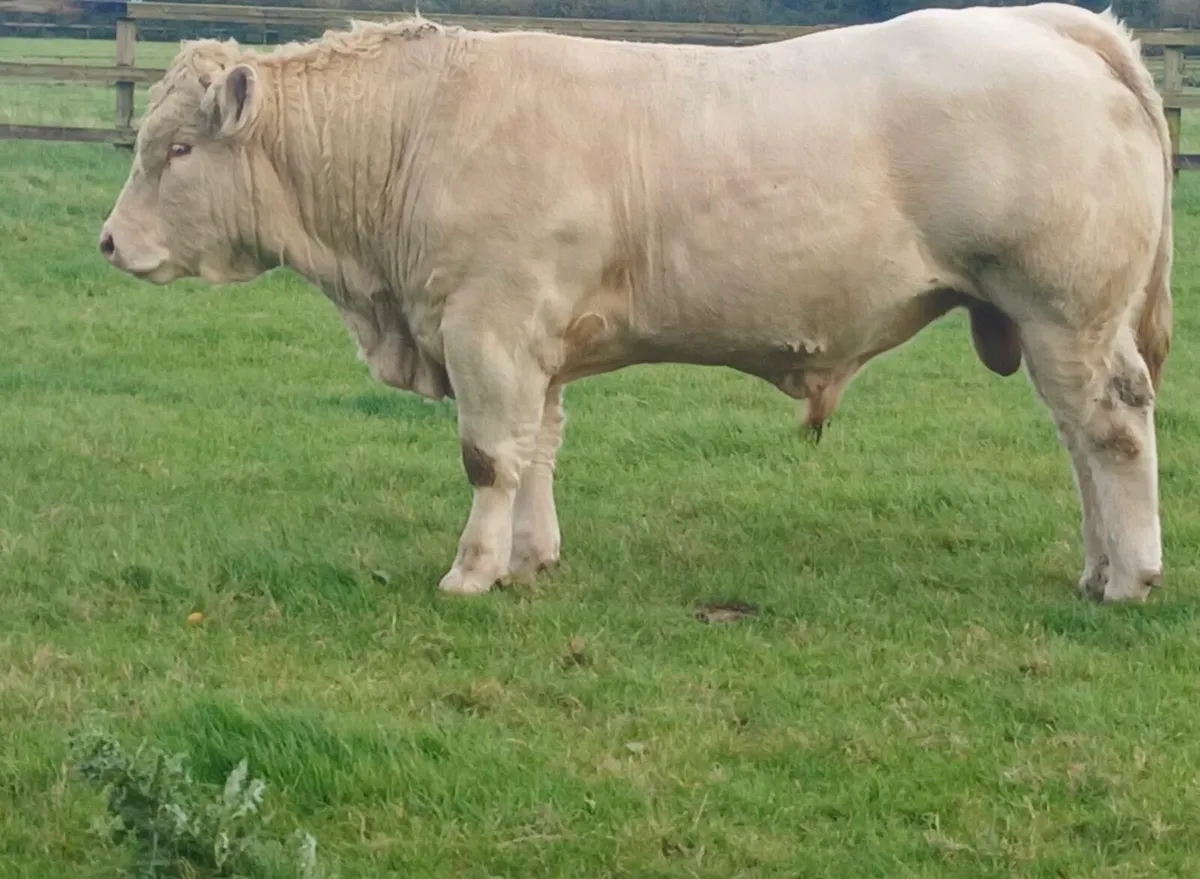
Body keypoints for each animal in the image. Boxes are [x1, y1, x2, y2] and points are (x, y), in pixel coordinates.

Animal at [98, 3, 1173, 603]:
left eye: (179, 149)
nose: (110, 242)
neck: (421, 128)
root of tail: (1049, 22)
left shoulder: (486, 323)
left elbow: (488, 455)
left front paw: (471, 572)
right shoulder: (534, 342)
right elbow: (536, 447)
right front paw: (530, 558)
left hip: (1067, 312)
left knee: (1114, 429)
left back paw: (1129, 577)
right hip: (1045, 322)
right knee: (1079, 442)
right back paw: (1095, 566)